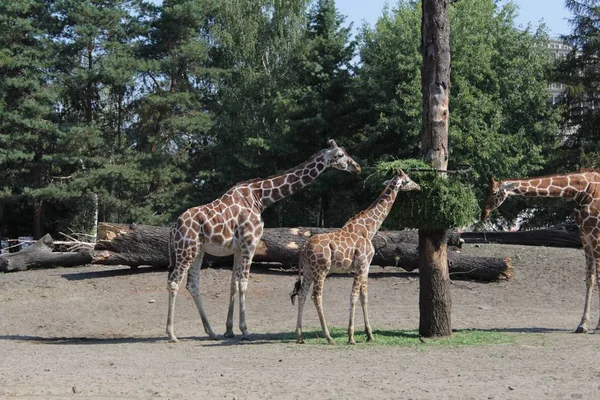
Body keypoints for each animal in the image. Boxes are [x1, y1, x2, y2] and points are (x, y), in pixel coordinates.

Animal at [165, 140, 360, 340]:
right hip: (186, 249)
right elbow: (243, 284)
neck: (261, 198)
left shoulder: (238, 248)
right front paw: (245, 330)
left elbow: (233, 284)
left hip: (198, 251)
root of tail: (174, 227)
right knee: (173, 281)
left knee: (192, 285)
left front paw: (229, 330)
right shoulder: (250, 243)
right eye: (340, 155)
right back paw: (171, 334)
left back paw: (211, 332)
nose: (356, 167)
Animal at [290, 169, 422, 344]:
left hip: (307, 270)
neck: (369, 229)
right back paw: (328, 337)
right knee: (316, 296)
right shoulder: (362, 264)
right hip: (321, 269)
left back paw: (300, 336)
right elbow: (353, 296)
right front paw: (351, 336)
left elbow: (363, 296)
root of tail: (304, 247)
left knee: (302, 294)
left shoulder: (365, 267)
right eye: (407, 180)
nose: (418, 186)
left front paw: (369, 334)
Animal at [480, 169, 600, 334]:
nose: (483, 214)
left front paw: (598, 326)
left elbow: (599, 278)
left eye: (493, 192)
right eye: (485, 191)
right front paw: (583, 325)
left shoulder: (596, 235)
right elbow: (590, 279)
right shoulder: (585, 237)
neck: (582, 191)